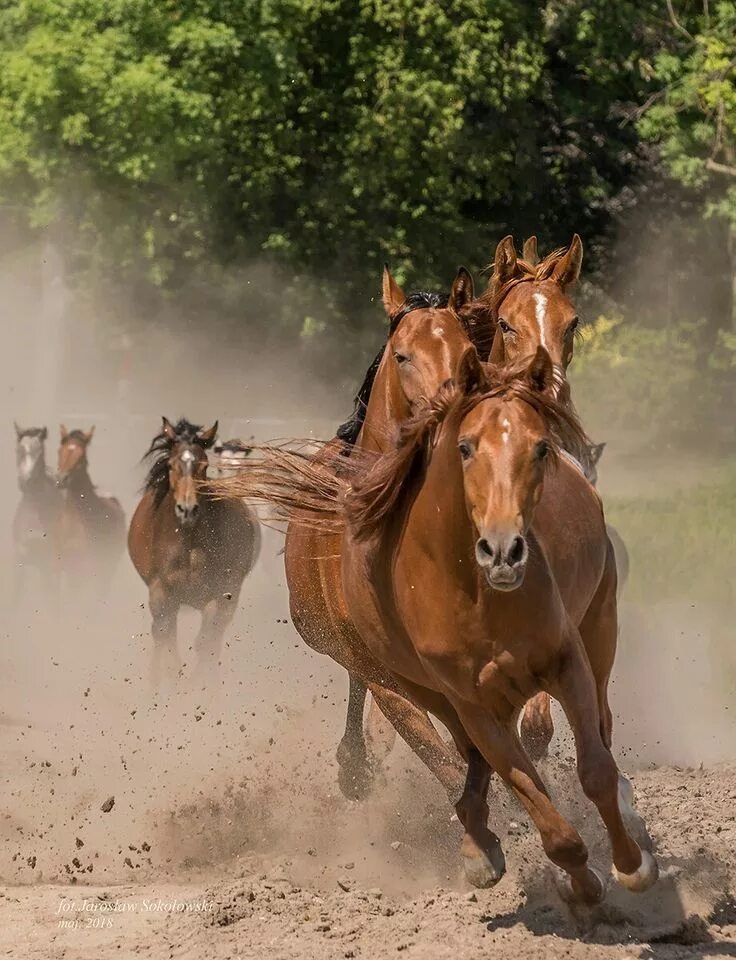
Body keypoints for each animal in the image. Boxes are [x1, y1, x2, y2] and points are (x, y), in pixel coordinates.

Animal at [128, 416, 260, 688]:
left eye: (204, 465)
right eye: (171, 464)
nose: (187, 509)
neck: (189, 543)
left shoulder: (220, 594)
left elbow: (206, 644)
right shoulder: (161, 592)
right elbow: (165, 639)